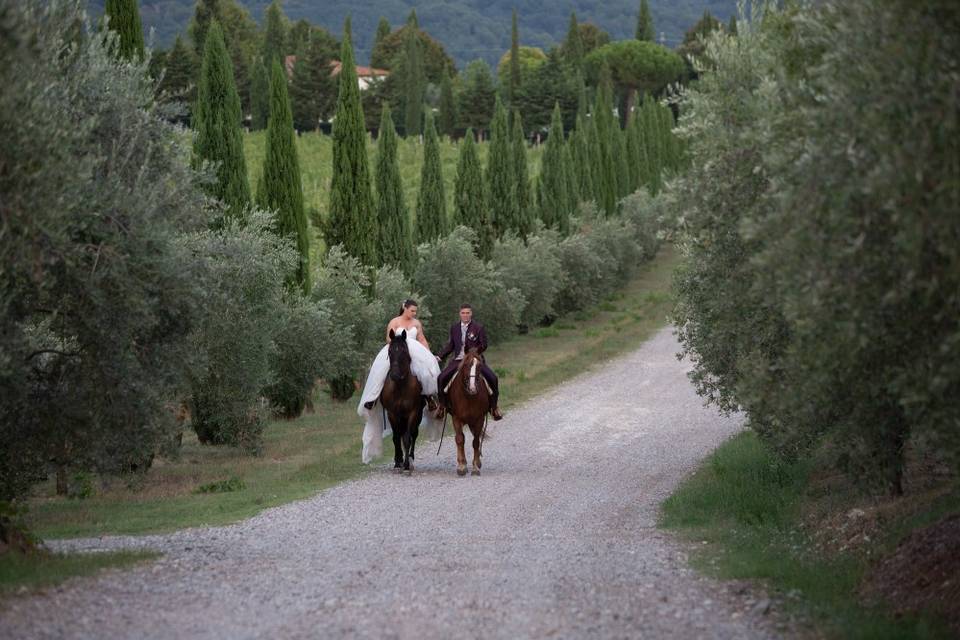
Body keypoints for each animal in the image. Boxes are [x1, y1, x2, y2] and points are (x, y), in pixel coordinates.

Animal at [380, 330, 426, 470]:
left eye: (404, 351)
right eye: (389, 351)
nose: (394, 375)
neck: (400, 387)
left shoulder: (413, 412)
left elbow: (407, 438)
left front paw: (406, 464)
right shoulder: (392, 413)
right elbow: (396, 437)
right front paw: (398, 462)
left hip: (417, 414)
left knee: (413, 434)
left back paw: (410, 458)